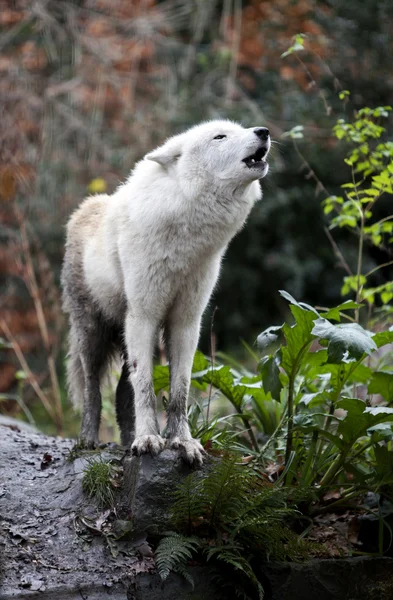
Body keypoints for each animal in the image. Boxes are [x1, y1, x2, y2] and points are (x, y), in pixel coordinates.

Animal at [61, 119, 270, 466]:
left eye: (241, 128)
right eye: (220, 136)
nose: (264, 131)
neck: (187, 240)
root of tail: (87, 206)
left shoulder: (186, 322)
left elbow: (179, 391)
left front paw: (180, 442)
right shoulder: (144, 317)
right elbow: (146, 388)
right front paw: (149, 439)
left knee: (122, 392)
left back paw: (127, 441)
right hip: (93, 334)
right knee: (93, 390)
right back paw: (88, 441)